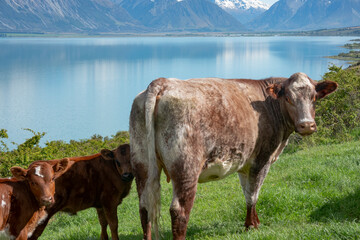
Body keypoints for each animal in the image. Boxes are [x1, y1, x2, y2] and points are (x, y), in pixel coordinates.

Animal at [129, 72, 338, 239]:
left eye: (314, 98)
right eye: (288, 98)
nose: (307, 125)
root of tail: (162, 82)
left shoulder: (243, 162)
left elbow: (246, 192)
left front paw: (251, 223)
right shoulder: (262, 159)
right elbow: (253, 194)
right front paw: (252, 226)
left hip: (142, 163)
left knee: (144, 208)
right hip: (186, 167)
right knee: (179, 210)